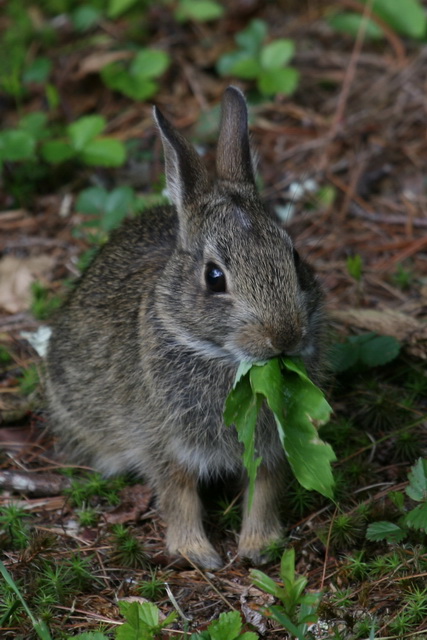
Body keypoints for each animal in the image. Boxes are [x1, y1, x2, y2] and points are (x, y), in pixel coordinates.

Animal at [46, 86, 325, 570]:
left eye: (294, 257)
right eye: (214, 277)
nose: (285, 336)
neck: (221, 357)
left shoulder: (270, 446)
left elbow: (264, 490)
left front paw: (258, 547)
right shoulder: (163, 443)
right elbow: (178, 494)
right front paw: (197, 554)